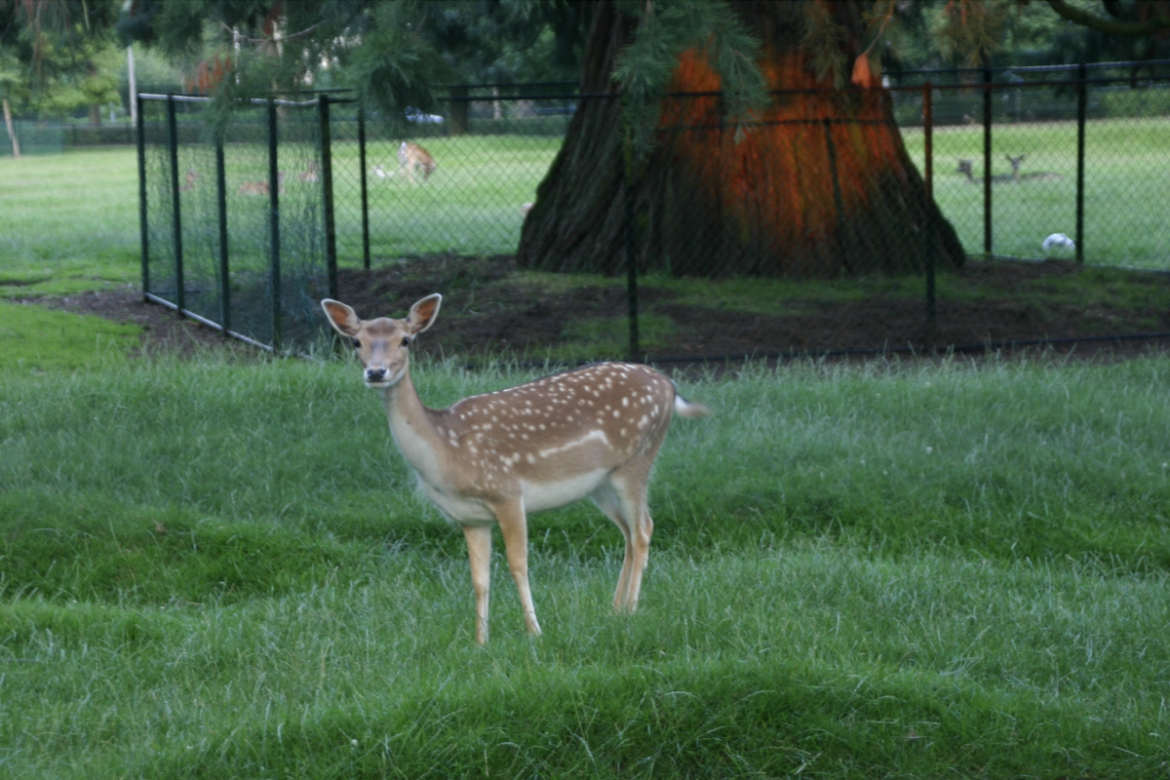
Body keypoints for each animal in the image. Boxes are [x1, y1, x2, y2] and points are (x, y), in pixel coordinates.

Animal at [320, 295, 706, 645]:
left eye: (406, 339)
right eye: (356, 341)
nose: (376, 372)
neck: (447, 450)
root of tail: (669, 385)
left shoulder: (507, 492)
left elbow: (518, 565)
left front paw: (534, 632)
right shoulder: (471, 516)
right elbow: (480, 578)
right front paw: (480, 641)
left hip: (638, 458)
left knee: (643, 528)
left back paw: (632, 610)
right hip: (601, 482)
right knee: (627, 530)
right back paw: (615, 610)